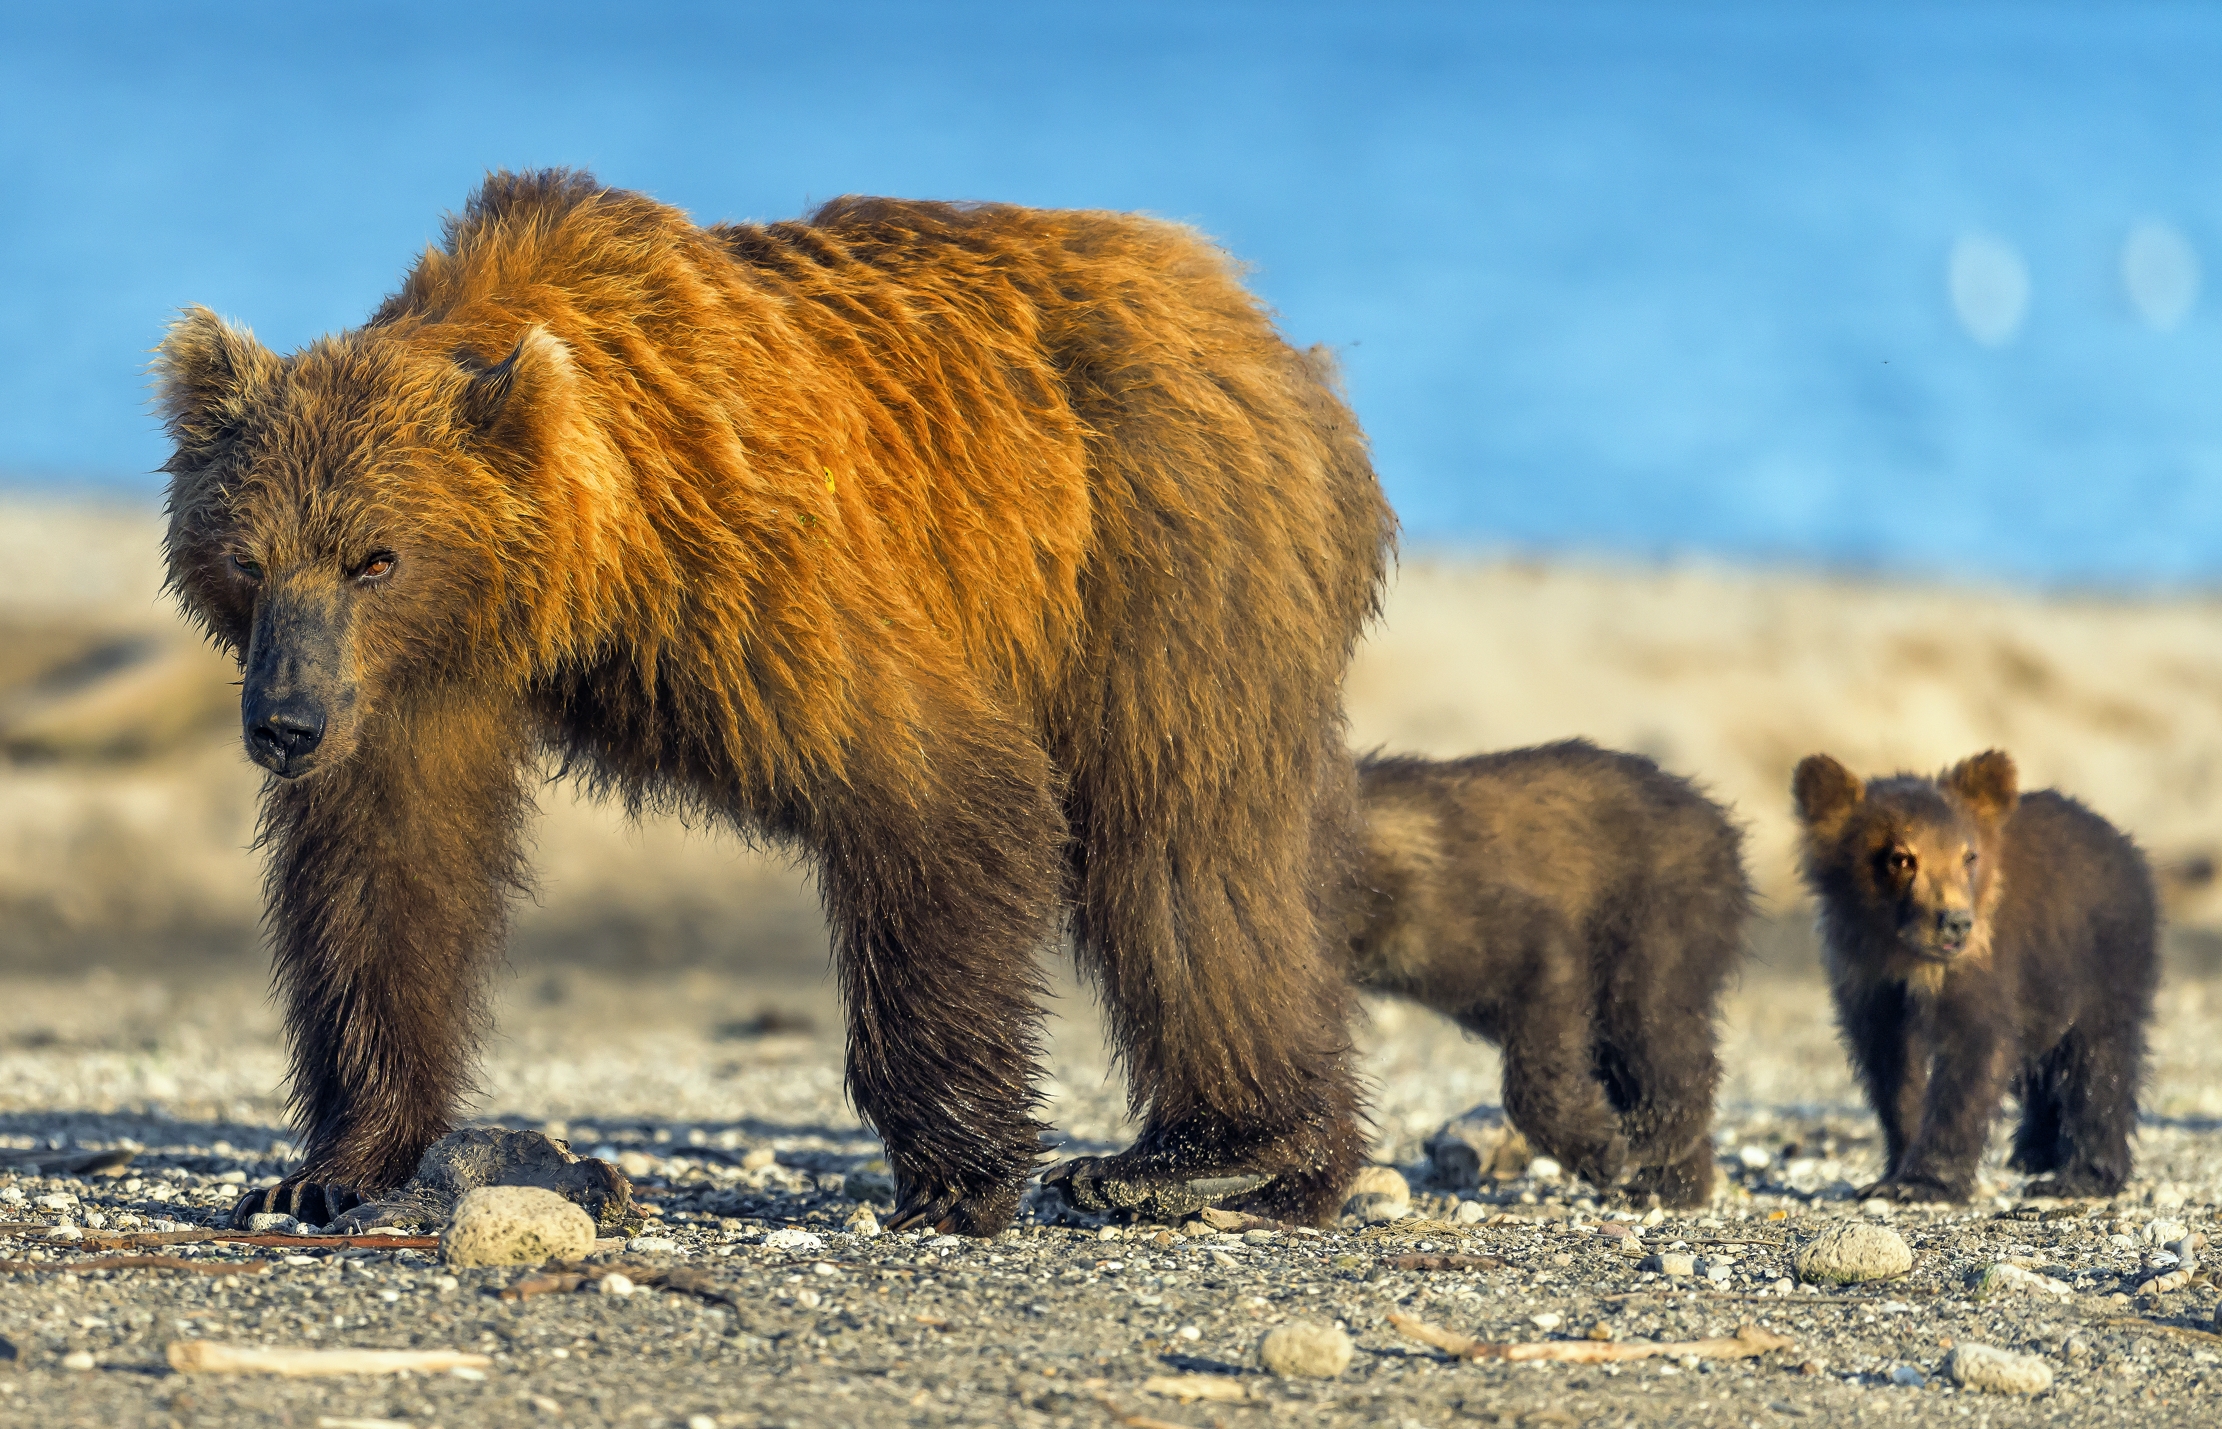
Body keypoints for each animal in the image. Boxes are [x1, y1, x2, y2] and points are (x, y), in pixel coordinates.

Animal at [161, 173, 1386, 1235]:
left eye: (375, 556)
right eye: (247, 557)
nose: (283, 723)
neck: (595, 553)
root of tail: (1245, 310)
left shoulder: (757, 561)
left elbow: (932, 783)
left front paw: (959, 1173)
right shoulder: (416, 680)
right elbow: (389, 876)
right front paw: (330, 1169)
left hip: (1160, 534)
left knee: (1182, 835)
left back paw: (1208, 1153)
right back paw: (1272, 1161)